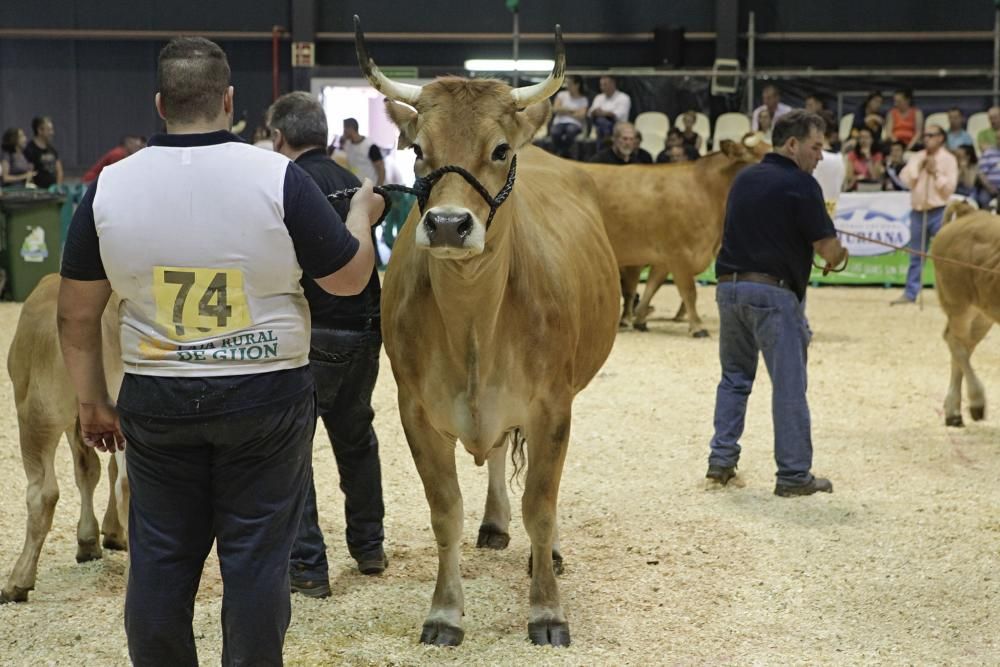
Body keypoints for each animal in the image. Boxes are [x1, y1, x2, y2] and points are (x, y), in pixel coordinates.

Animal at [0, 274, 128, 604]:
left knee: (43, 493)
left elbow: (85, 470)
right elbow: (98, 470)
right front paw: (106, 536)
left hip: (37, 414)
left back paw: (18, 581)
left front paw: (88, 541)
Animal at [352, 17, 616, 648]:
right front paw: (445, 613)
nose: (449, 224)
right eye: (418, 150)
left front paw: (547, 610)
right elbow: (444, 511)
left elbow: (541, 504)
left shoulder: (553, 407)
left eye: (498, 150)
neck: (474, 326)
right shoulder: (416, 412)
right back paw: (495, 524)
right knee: (496, 453)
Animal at [580, 136, 764, 336]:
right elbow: (689, 292)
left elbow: (651, 287)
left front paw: (640, 319)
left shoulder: (664, 258)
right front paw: (697, 327)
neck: (705, 189)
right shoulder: (679, 254)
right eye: (763, 157)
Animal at [932, 205, 996, 428]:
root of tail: (970, 212)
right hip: (959, 304)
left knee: (964, 347)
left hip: (983, 314)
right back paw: (975, 402)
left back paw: (953, 411)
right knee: (955, 341)